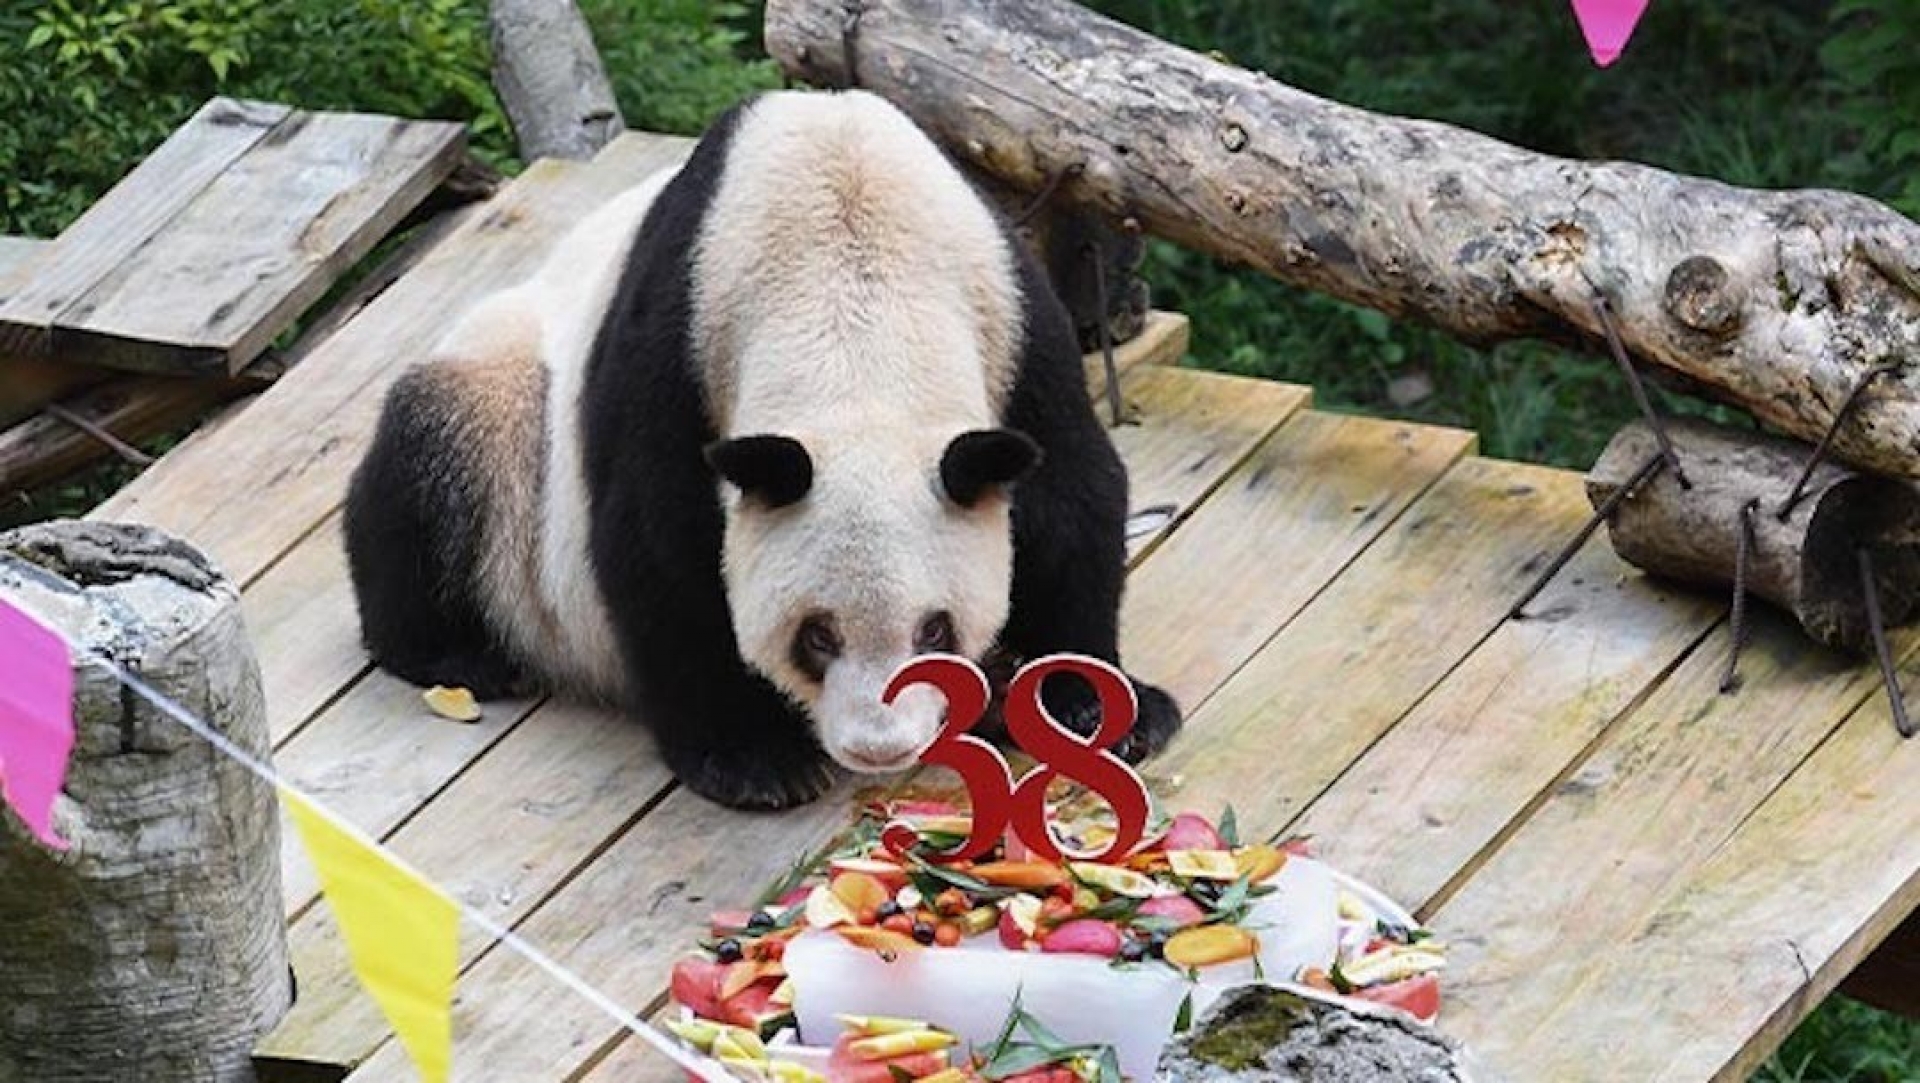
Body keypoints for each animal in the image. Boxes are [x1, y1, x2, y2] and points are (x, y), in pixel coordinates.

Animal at [342, 90, 1181, 810]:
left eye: (934, 631)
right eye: (818, 636)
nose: (879, 747)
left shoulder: (1009, 311)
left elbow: (1070, 497)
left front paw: (1096, 707)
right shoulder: (679, 329)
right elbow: (659, 539)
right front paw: (756, 759)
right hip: (506, 409)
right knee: (428, 463)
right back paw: (459, 654)